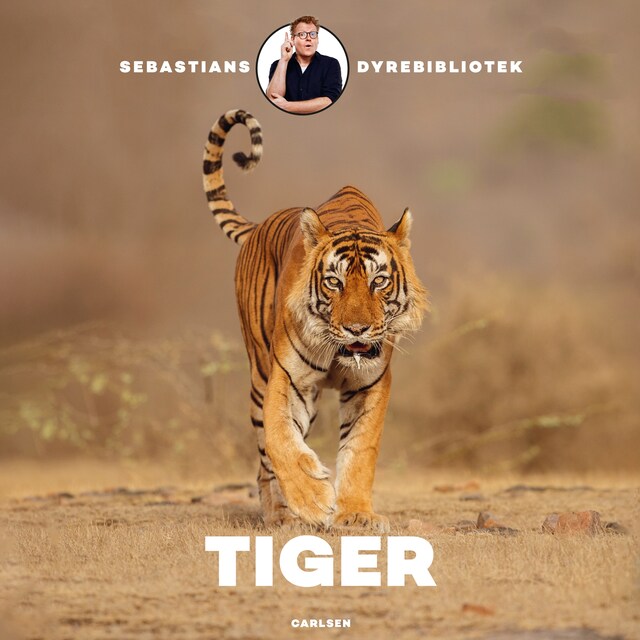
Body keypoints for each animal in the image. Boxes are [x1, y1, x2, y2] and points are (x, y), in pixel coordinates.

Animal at [202, 109, 427, 532]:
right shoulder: (286, 378)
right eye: (333, 282)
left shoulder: (371, 383)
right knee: (264, 455)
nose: (357, 329)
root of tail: (258, 226)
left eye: (379, 281)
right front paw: (312, 498)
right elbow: (279, 438)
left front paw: (355, 514)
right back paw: (281, 515)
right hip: (259, 372)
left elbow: (361, 448)